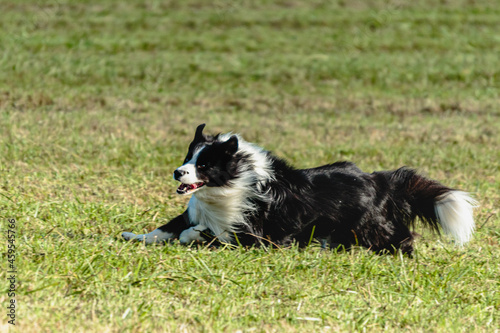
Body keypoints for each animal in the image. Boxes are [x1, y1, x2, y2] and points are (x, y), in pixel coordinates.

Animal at [122, 123, 476, 253]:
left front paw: (191, 236)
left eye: (205, 165)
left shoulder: (252, 235)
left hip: (368, 224)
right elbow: (165, 228)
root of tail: (378, 179)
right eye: (188, 158)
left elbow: (199, 233)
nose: (177, 172)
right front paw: (133, 235)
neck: (232, 182)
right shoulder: (193, 211)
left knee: (399, 236)